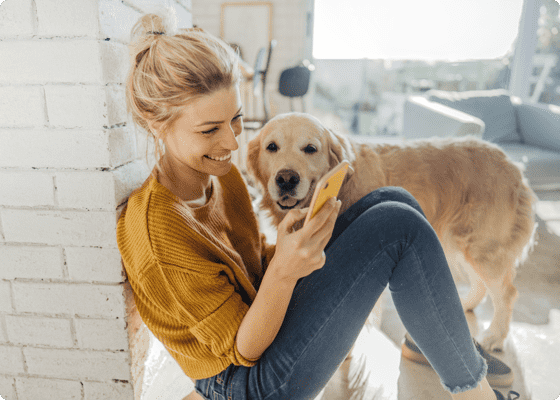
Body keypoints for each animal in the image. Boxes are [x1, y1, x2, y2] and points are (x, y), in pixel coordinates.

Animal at [247, 111, 536, 350]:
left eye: (310, 149)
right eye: (271, 147)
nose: (286, 179)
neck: (343, 183)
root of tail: (514, 165)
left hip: (482, 246)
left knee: (506, 293)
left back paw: (494, 337)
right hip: (463, 243)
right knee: (481, 285)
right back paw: (462, 304)